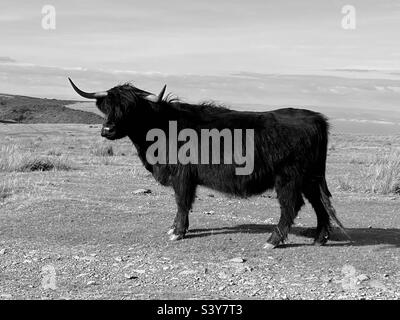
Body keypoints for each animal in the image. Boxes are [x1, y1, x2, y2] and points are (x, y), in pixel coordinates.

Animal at [69, 79, 346, 249]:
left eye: (130, 109)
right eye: (107, 107)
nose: (107, 130)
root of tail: (316, 118)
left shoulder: (182, 176)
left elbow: (182, 202)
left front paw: (178, 232)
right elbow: (182, 204)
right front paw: (174, 229)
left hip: (289, 178)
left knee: (291, 206)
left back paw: (273, 240)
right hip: (310, 179)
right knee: (319, 205)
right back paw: (320, 239)